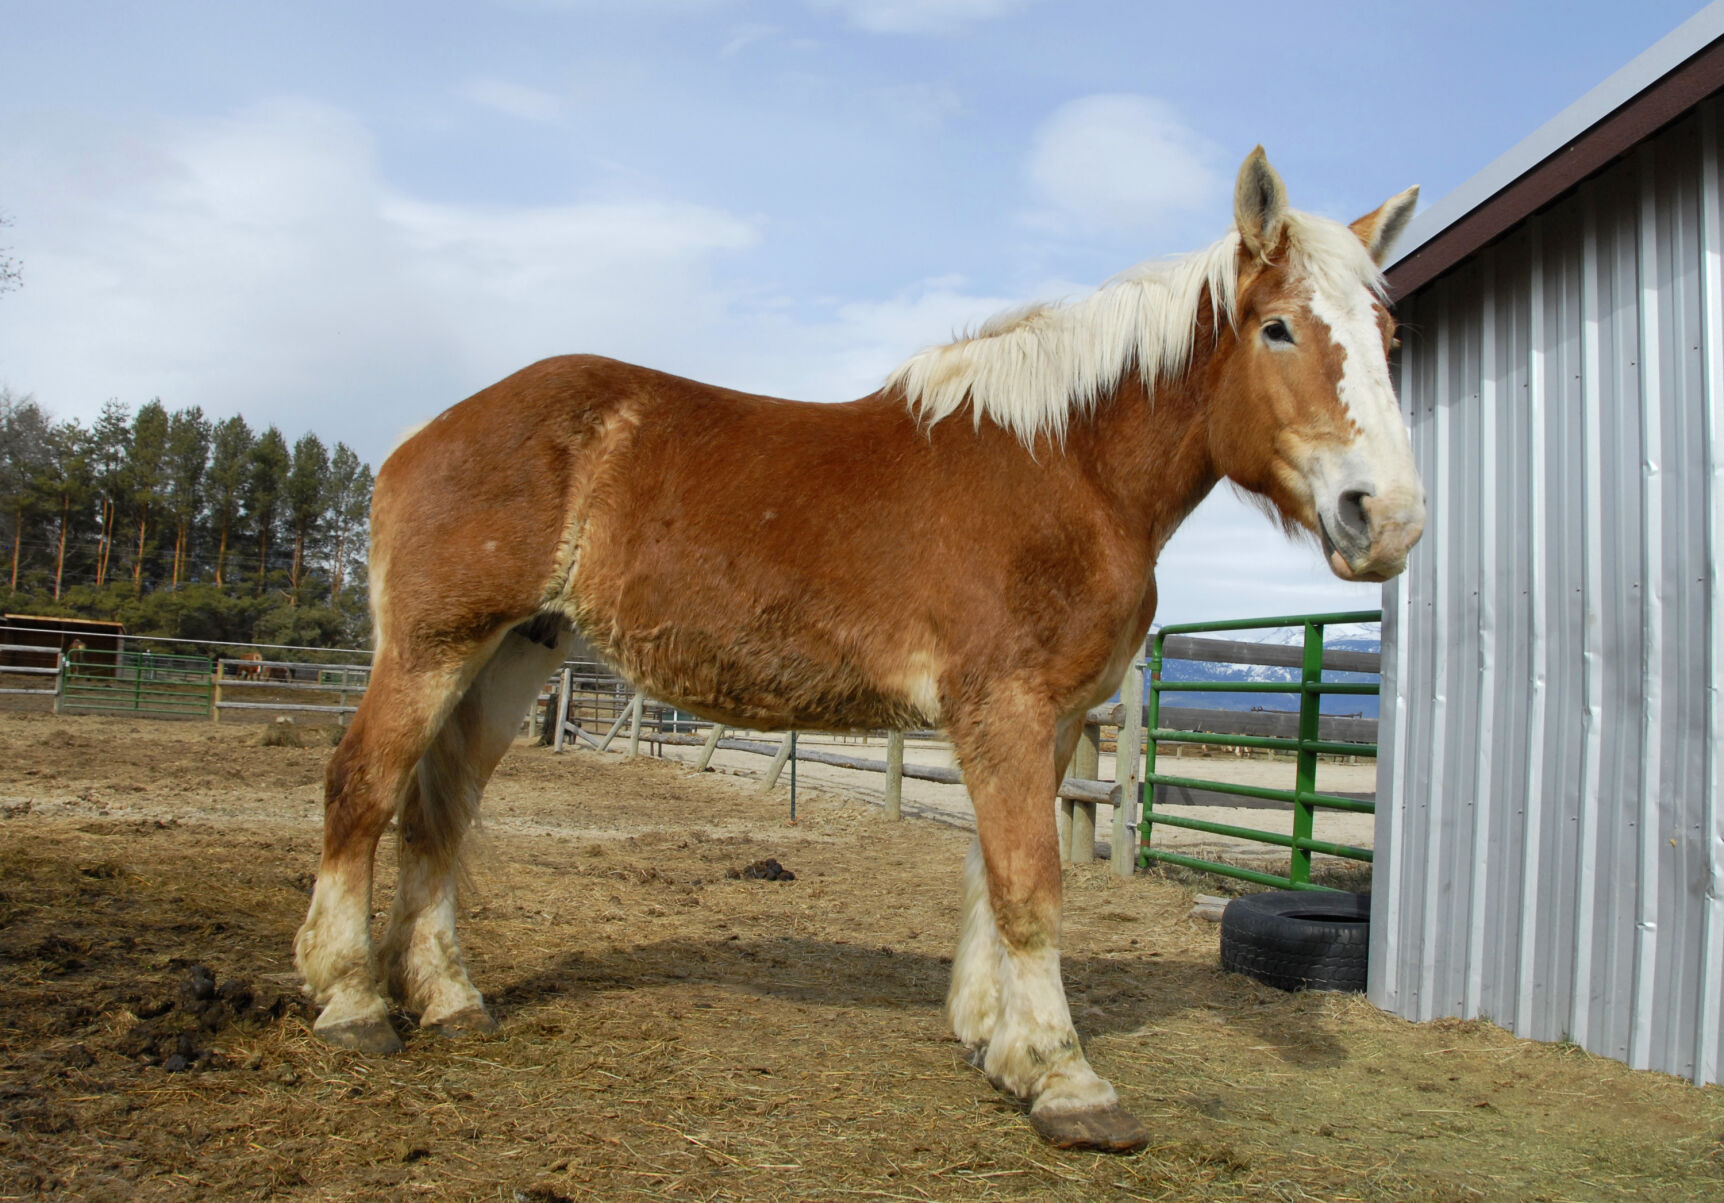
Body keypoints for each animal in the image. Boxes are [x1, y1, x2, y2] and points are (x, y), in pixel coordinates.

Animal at [294, 148, 1423, 1151]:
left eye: (1387, 333)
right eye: (1276, 328)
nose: (1388, 518)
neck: (1063, 471)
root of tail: (426, 433)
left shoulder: (1044, 719)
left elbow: (987, 874)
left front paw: (996, 1047)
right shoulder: (1005, 709)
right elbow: (1029, 887)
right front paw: (1067, 1082)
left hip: (512, 656)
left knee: (440, 813)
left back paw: (449, 997)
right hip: (432, 649)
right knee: (362, 788)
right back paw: (352, 1003)